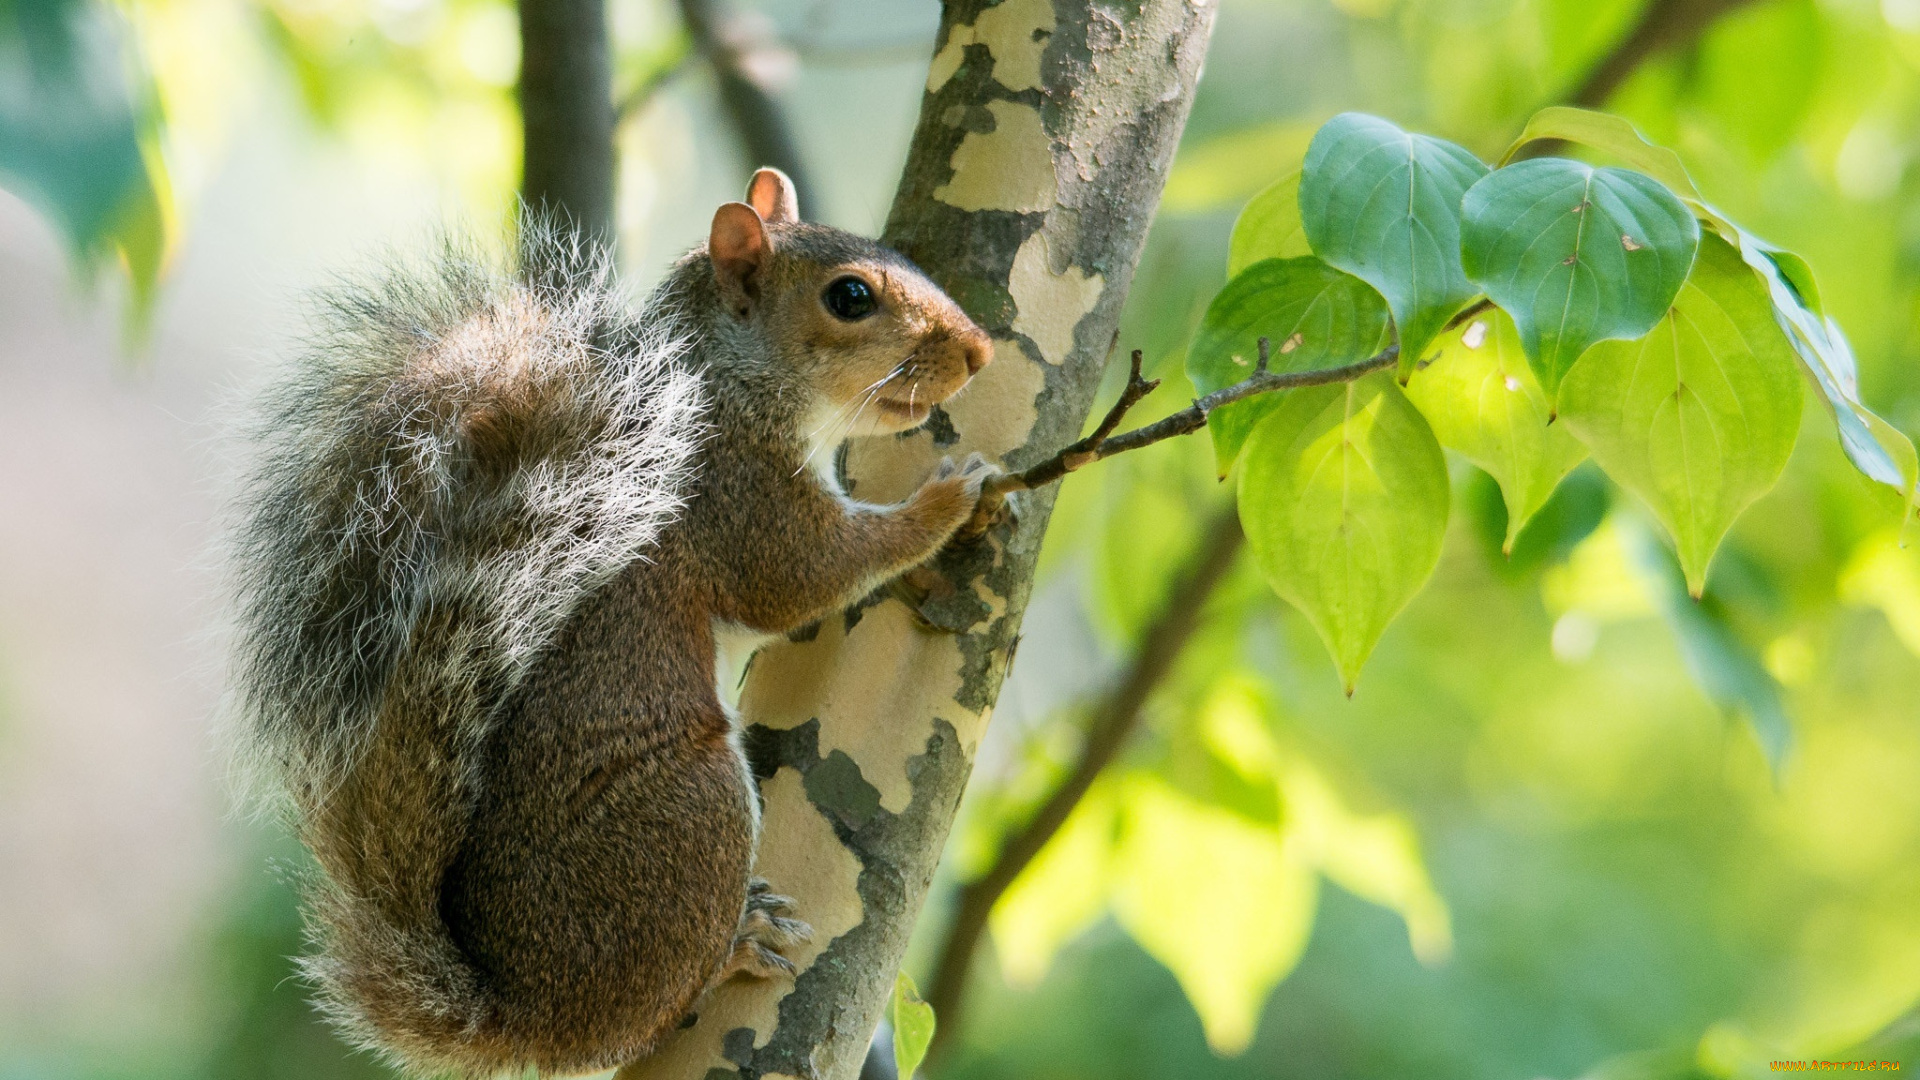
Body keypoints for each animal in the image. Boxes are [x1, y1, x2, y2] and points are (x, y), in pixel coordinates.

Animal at [232, 168, 998, 1068]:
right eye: (850, 297)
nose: (981, 351)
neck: (722, 384)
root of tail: (529, 1015)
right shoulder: (735, 497)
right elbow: (809, 577)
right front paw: (947, 501)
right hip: (694, 807)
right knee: (653, 1010)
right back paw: (732, 947)